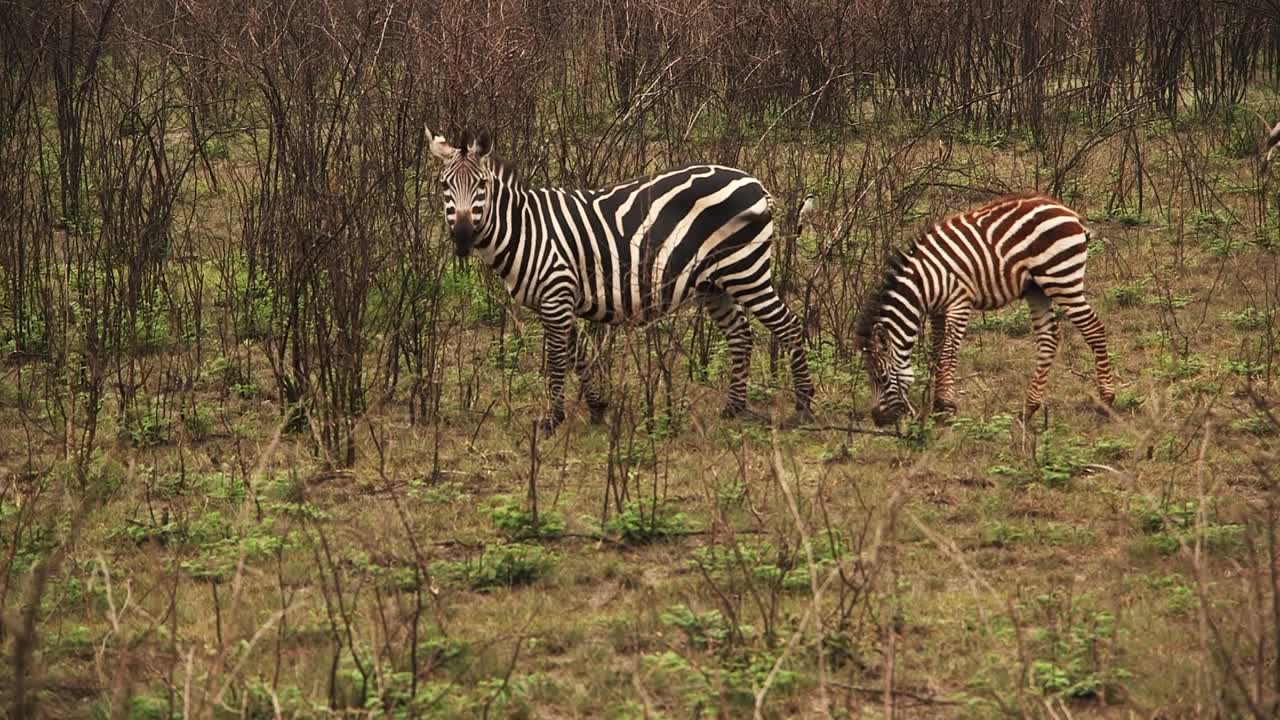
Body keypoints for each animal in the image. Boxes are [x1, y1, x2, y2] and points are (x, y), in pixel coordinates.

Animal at [426, 128, 814, 434]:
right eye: (445, 186)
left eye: (481, 185)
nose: (462, 237)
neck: (525, 230)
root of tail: (755, 182)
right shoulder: (560, 298)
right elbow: (577, 356)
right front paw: (597, 409)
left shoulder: (556, 294)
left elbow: (557, 361)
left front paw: (552, 420)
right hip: (716, 283)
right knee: (741, 335)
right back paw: (733, 407)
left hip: (745, 269)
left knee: (789, 327)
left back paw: (804, 406)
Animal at [855, 193, 1114, 427]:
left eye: (881, 377)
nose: (878, 420)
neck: (924, 284)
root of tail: (1069, 213)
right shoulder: (937, 311)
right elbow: (936, 353)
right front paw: (937, 406)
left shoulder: (959, 302)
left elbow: (948, 353)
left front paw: (945, 407)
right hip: (1036, 288)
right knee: (1049, 338)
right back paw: (1027, 410)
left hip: (1060, 277)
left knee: (1093, 328)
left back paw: (1106, 400)